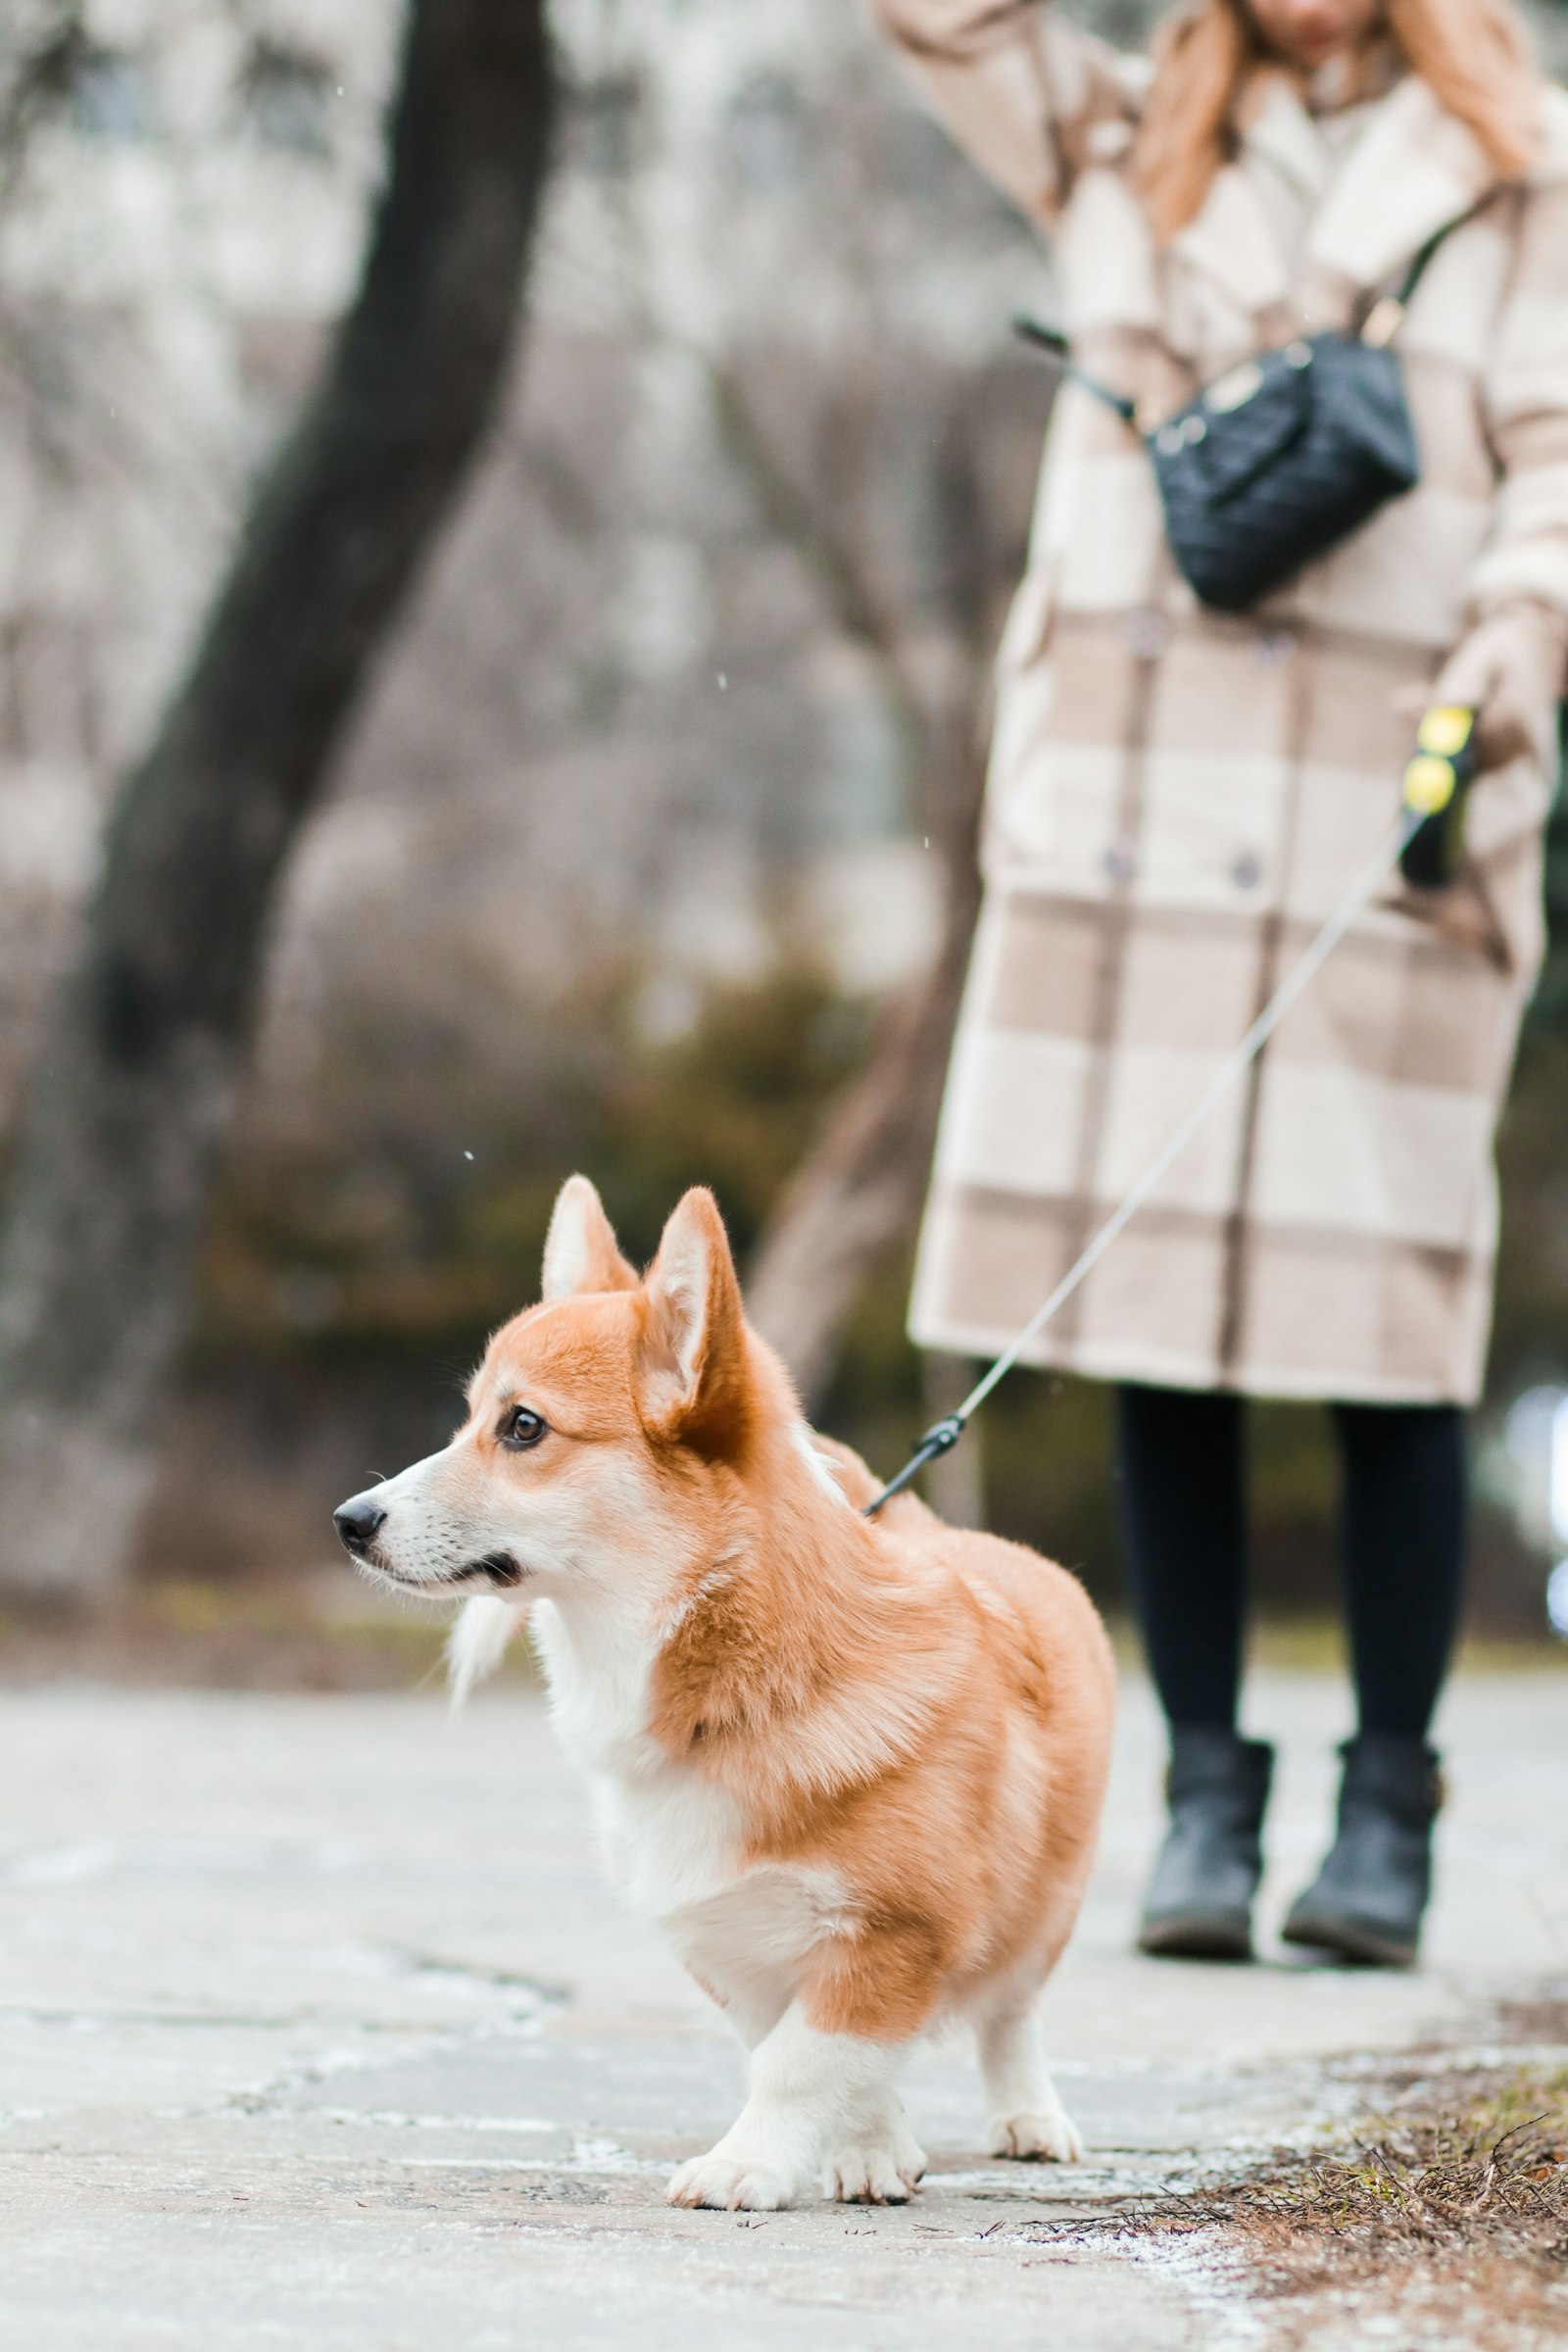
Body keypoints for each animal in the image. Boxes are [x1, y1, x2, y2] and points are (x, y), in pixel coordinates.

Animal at [333, 1176, 1114, 2201]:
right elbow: (800, 2055)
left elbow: (801, 2063)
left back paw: (1030, 2115)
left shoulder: (895, 1933)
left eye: (523, 1426)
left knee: (1011, 2010)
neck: (740, 1691)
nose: (349, 1521)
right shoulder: (731, 1947)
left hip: (1046, 1910)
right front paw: (870, 2147)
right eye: (470, 1420)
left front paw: (747, 2167)